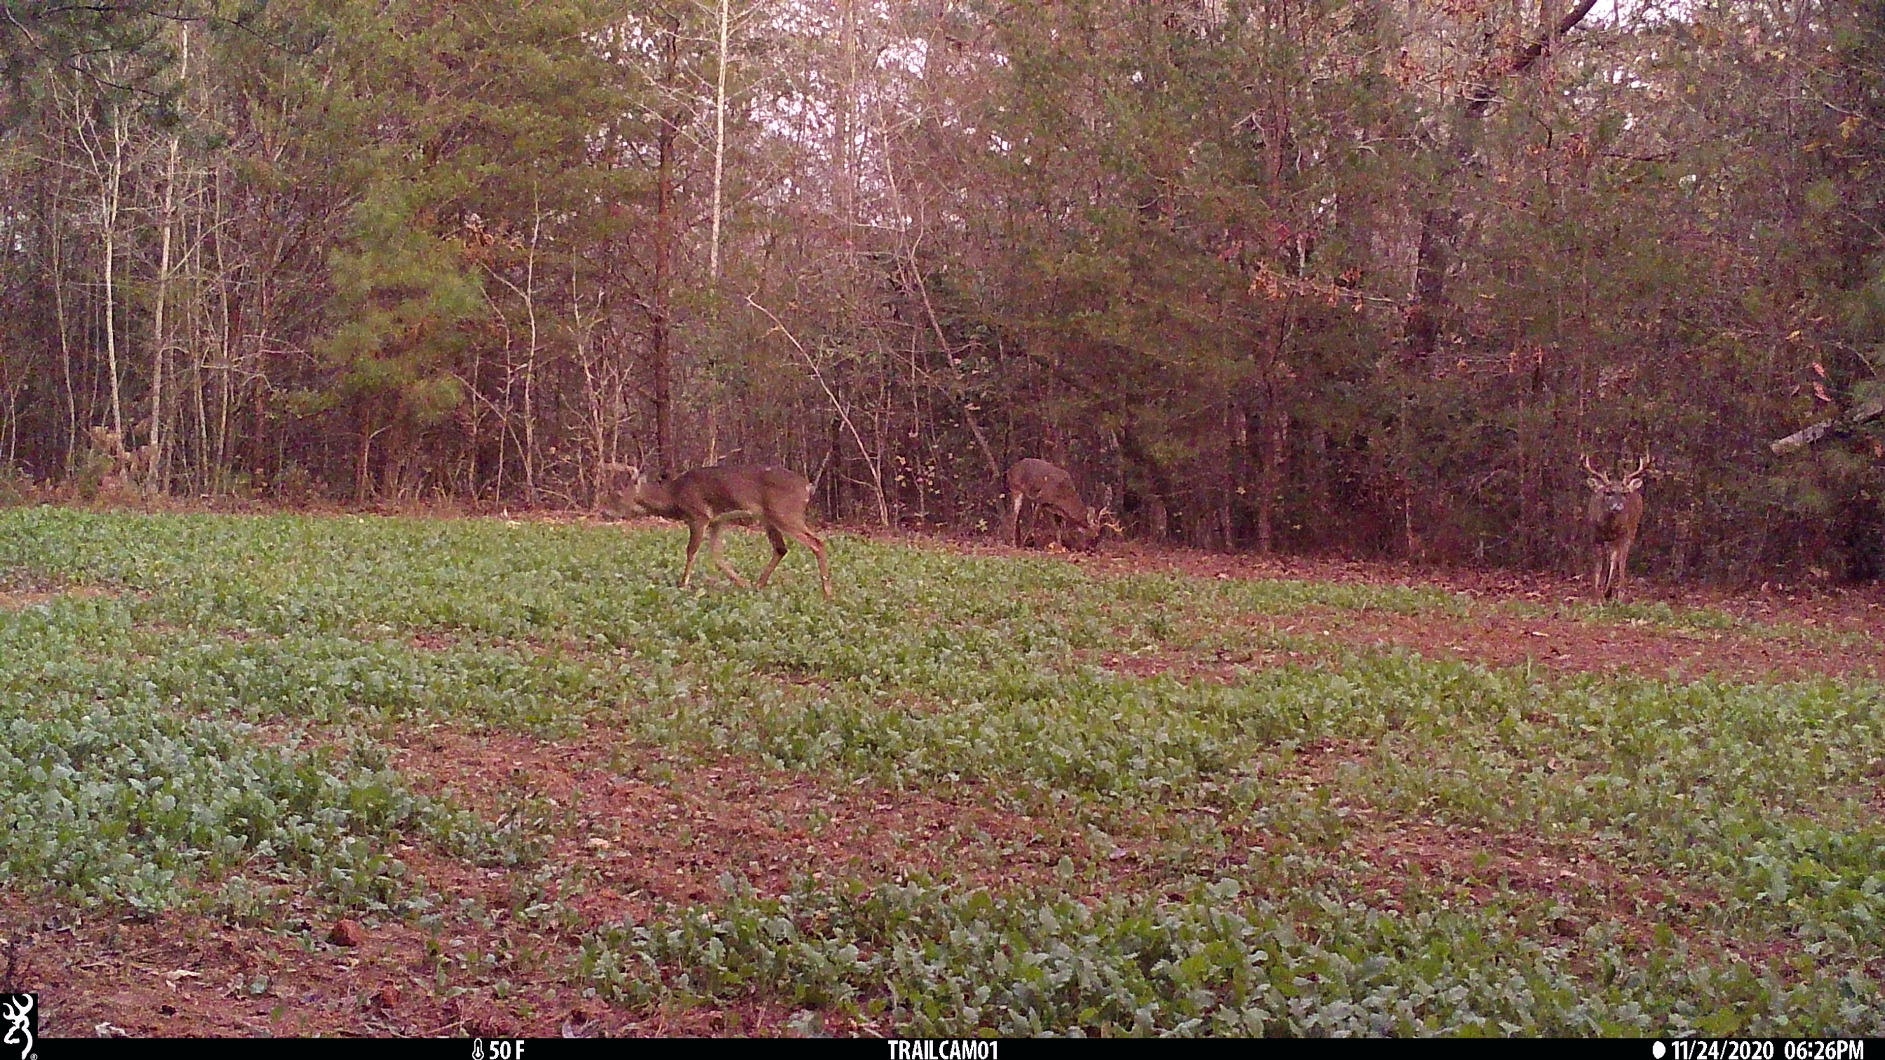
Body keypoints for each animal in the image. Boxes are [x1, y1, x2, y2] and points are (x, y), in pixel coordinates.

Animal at [602, 464, 833, 599]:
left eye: (617, 494)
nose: (605, 512)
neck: (673, 496)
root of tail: (808, 488)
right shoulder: (717, 522)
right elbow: (716, 555)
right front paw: (741, 582)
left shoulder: (698, 516)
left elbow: (691, 551)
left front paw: (683, 584)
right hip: (769, 518)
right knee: (781, 548)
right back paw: (757, 585)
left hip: (785, 513)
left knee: (817, 543)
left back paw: (827, 593)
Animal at [1582, 453, 1650, 601]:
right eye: (1608, 492)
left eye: (1624, 493)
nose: (1617, 505)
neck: (1609, 527)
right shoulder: (1594, 536)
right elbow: (1598, 566)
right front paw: (1596, 595)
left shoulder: (1624, 534)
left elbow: (1621, 563)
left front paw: (1620, 595)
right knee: (1612, 557)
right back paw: (1607, 590)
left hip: (1632, 530)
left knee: (1617, 558)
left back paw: (1612, 591)